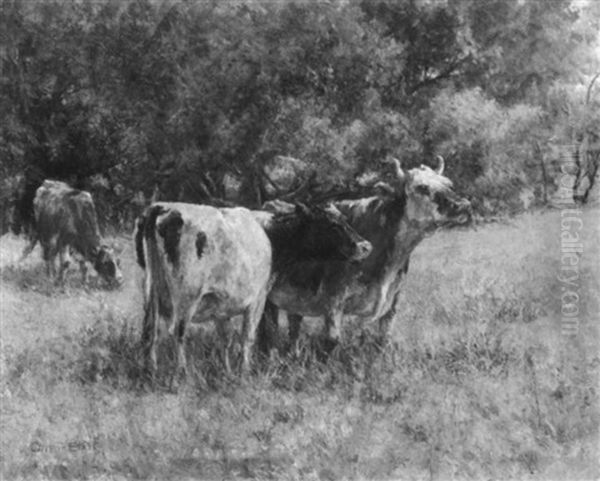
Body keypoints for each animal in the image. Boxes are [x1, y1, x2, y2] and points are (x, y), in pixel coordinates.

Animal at [136, 202, 370, 378]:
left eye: (345, 220)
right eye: (332, 225)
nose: (365, 246)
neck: (272, 235)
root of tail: (163, 207)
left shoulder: (222, 304)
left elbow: (226, 338)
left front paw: (227, 371)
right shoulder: (258, 298)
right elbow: (250, 335)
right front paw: (244, 372)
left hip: (151, 290)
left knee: (150, 331)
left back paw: (150, 372)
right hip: (187, 295)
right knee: (178, 331)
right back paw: (181, 374)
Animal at [260, 156, 472, 350]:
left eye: (449, 184)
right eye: (422, 187)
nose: (462, 205)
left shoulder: (393, 301)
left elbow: (382, 340)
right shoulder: (333, 301)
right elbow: (332, 343)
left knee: (294, 325)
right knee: (269, 327)